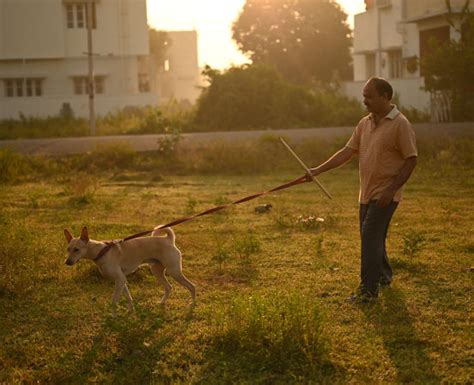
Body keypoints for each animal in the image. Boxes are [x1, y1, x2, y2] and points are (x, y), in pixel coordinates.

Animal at [64, 225, 194, 316]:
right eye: (68, 249)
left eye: (76, 249)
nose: (67, 262)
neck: (101, 251)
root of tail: (168, 239)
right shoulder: (122, 281)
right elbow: (128, 298)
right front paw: (131, 312)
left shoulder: (120, 280)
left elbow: (114, 302)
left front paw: (113, 318)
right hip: (156, 271)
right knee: (168, 287)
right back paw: (161, 303)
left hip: (174, 271)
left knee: (192, 286)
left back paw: (193, 305)